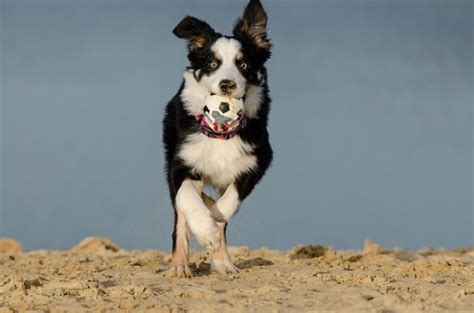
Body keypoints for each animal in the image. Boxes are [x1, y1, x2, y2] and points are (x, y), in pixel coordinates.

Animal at [165, 0, 272, 276]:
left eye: (243, 65)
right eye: (213, 64)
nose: (226, 85)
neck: (220, 135)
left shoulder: (257, 161)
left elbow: (228, 204)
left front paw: (214, 225)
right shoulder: (181, 163)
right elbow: (187, 199)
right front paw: (206, 231)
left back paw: (223, 262)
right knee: (180, 216)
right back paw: (179, 266)